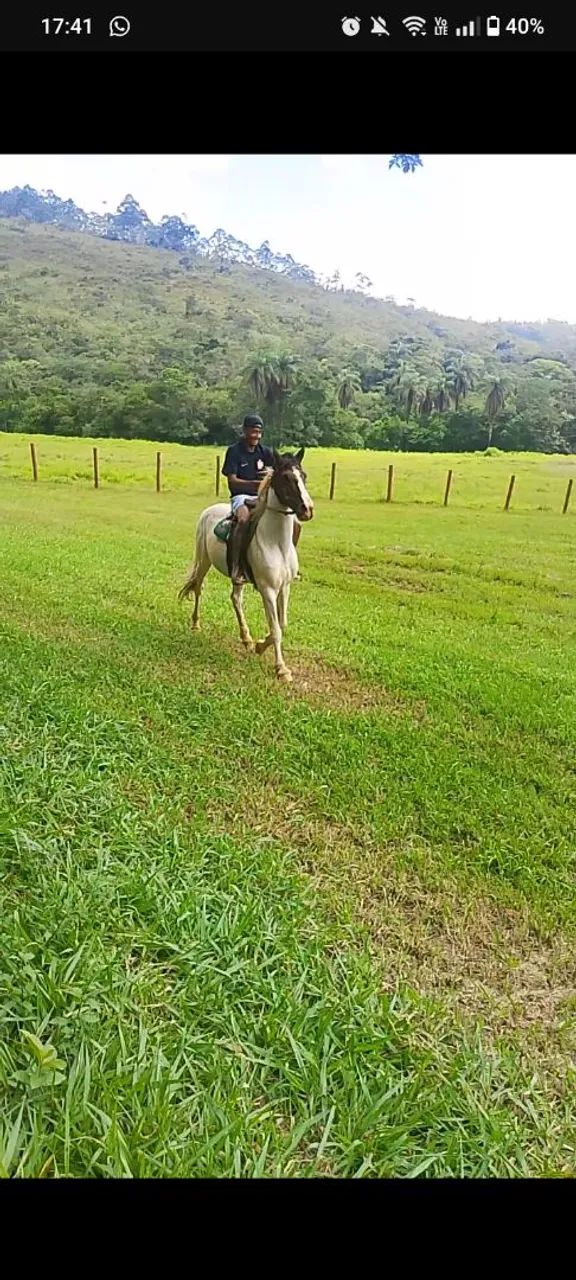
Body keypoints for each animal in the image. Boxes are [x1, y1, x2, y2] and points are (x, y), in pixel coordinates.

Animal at [178, 448, 314, 683]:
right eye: (286, 478)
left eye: (303, 476)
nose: (307, 509)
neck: (276, 542)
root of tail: (208, 511)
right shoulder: (268, 590)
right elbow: (276, 628)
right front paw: (281, 669)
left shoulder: (284, 587)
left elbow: (282, 624)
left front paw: (259, 646)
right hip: (204, 560)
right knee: (198, 587)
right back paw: (195, 624)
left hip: (237, 576)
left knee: (235, 599)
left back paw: (246, 638)